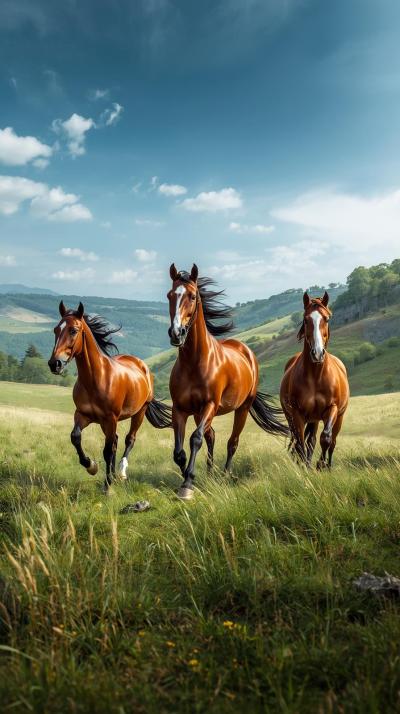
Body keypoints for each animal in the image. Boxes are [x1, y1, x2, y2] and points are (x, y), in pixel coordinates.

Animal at [48, 301, 172, 494]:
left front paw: (107, 486)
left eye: (73, 330)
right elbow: (75, 437)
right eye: (55, 330)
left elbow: (107, 451)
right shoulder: (83, 415)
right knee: (115, 441)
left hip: (138, 413)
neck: (96, 379)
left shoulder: (110, 418)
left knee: (128, 440)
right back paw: (112, 473)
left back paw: (120, 473)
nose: (55, 364)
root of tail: (142, 365)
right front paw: (91, 466)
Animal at [167, 263, 289, 500]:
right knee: (212, 436)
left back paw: (224, 475)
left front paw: (188, 484)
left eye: (192, 296)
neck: (194, 362)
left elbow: (195, 439)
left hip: (241, 408)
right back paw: (209, 472)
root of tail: (246, 351)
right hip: (199, 413)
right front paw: (188, 475)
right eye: (170, 295)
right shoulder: (180, 409)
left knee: (232, 442)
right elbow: (179, 452)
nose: (177, 333)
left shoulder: (210, 405)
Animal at [280, 291, 349, 469]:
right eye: (306, 319)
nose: (317, 353)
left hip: (338, 417)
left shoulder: (331, 409)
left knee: (331, 441)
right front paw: (305, 466)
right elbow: (300, 443)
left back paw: (327, 465)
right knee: (305, 440)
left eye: (327, 319)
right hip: (303, 418)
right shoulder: (297, 413)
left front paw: (321, 464)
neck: (316, 377)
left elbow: (326, 438)